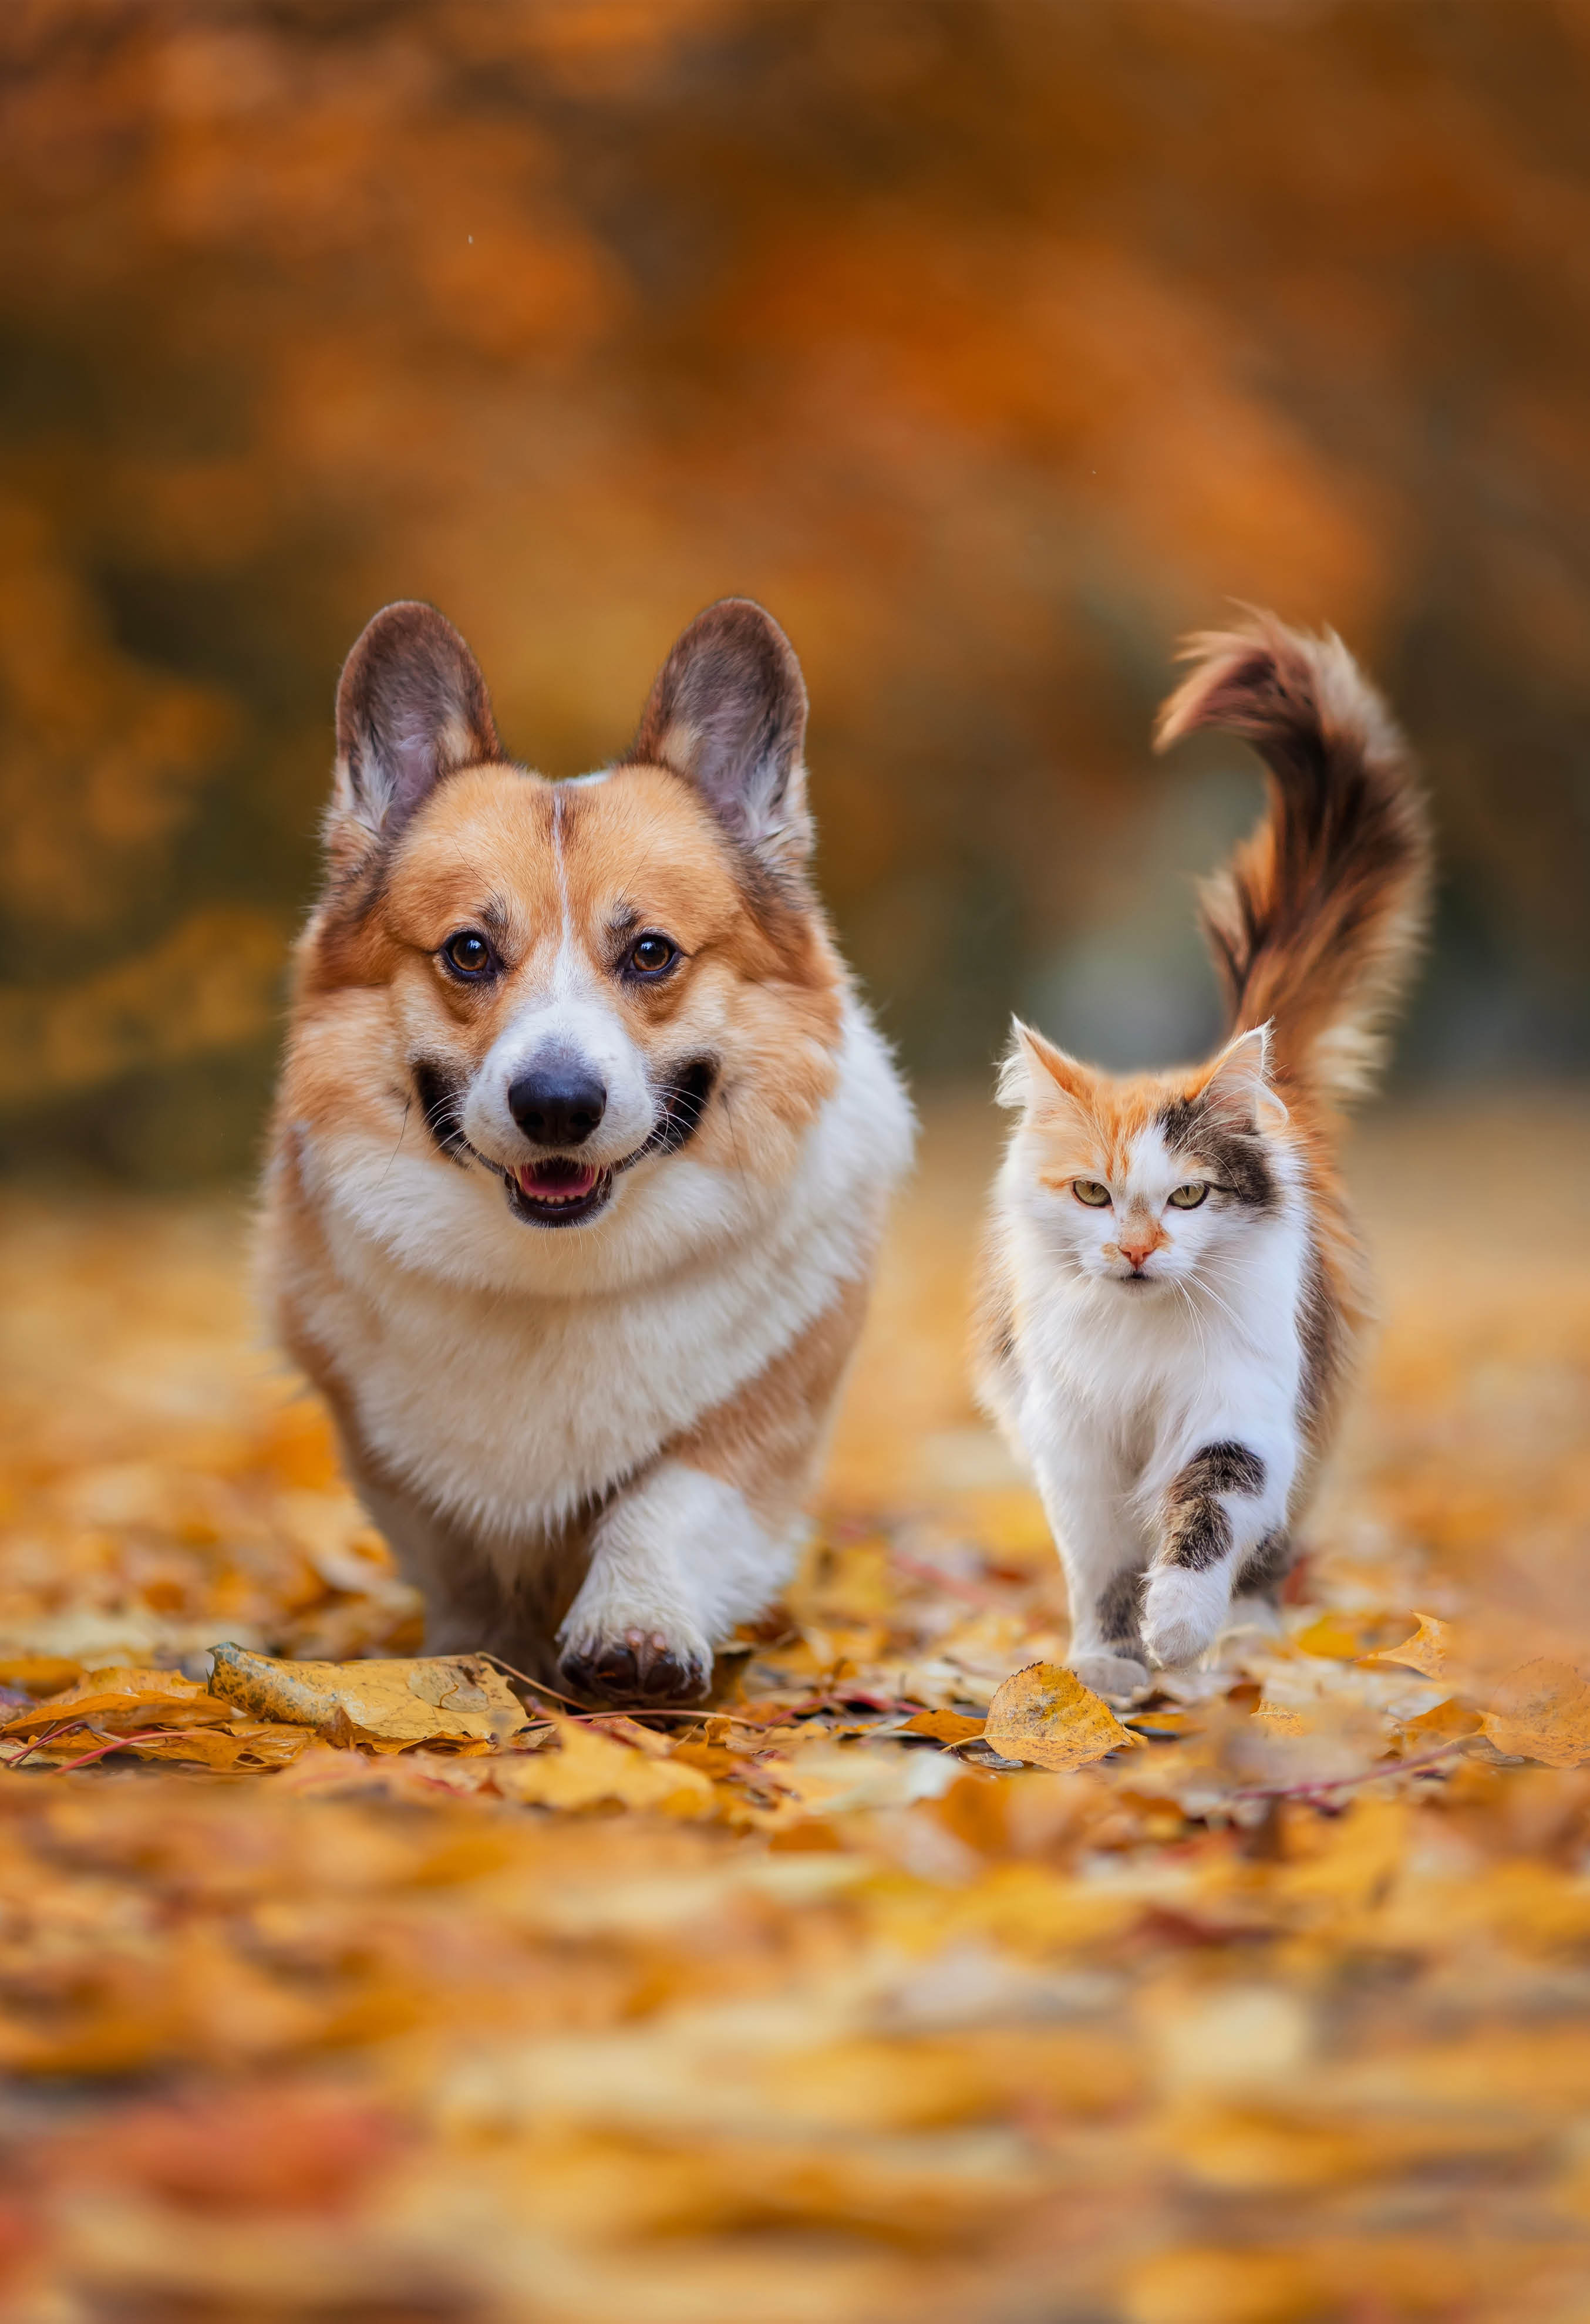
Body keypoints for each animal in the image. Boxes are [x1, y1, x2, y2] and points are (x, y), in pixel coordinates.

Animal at [255, 590, 911, 1701]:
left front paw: (633, 1628)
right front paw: (470, 1660)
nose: (557, 1105)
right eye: (469, 951)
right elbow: (457, 1557)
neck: (556, 1271)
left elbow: (667, 1504)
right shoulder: (384, 1448)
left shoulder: (759, 1422)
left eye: (649, 952)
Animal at [976, 613, 1431, 1710]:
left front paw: (1178, 1630)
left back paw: (1256, 1642)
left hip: (1312, 1397)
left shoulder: (1240, 1404)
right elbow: (1100, 1564)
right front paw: (1106, 1660)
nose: (1139, 1251)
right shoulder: (1073, 1442)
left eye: (1188, 1195)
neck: (1140, 1349)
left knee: (1273, 1545)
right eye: (1091, 1193)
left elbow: (1210, 1506)